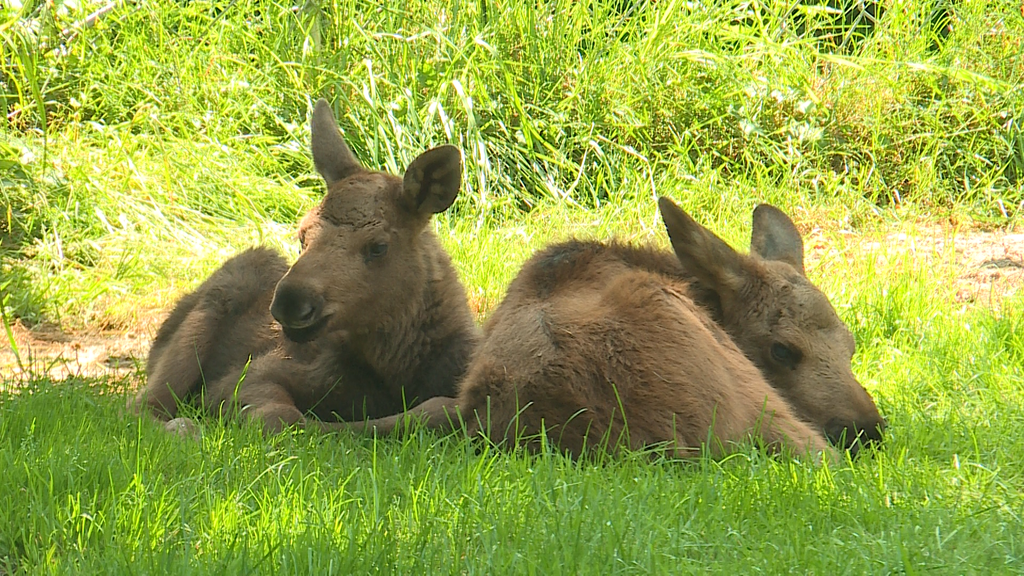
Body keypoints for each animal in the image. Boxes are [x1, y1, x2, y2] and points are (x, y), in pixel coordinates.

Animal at [131, 98, 479, 430]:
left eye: (379, 246)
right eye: (302, 235)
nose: (290, 301)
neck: (396, 373)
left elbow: (432, 410)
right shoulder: (243, 378)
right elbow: (286, 417)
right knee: (141, 406)